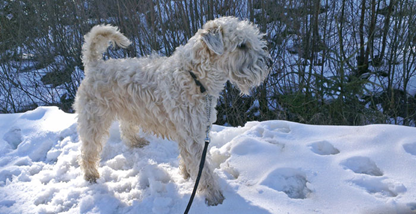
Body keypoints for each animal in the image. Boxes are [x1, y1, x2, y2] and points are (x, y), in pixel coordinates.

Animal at [73, 16, 272, 206]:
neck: (196, 78)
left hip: (128, 110)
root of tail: (94, 66)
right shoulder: (191, 134)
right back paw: (91, 175)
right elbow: (204, 170)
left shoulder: (195, 130)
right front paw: (215, 197)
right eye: (242, 45)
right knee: (88, 150)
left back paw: (136, 142)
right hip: (93, 120)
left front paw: (187, 174)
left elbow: (191, 160)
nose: (270, 62)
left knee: (127, 130)